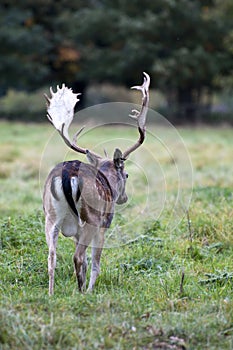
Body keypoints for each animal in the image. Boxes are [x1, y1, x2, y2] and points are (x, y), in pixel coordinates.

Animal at [42, 72, 150, 294]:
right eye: (127, 175)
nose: (124, 198)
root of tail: (68, 174)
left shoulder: (76, 230)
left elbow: (83, 262)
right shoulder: (104, 223)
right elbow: (95, 263)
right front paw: (89, 290)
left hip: (51, 216)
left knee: (52, 257)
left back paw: (51, 294)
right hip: (91, 216)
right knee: (78, 257)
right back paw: (81, 293)